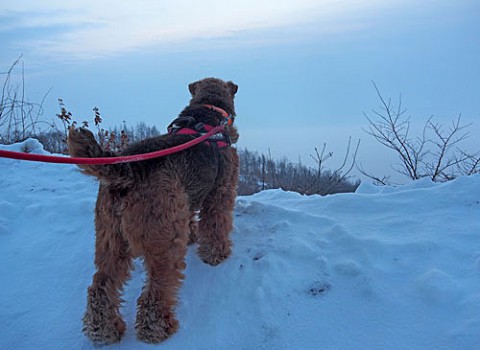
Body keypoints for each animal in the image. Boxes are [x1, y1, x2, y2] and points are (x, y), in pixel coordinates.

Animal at [66, 77, 239, 344]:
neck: (209, 111)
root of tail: (126, 171)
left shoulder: (185, 198)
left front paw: (193, 236)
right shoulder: (221, 192)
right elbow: (216, 224)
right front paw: (216, 254)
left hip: (109, 238)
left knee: (100, 288)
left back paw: (104, 331)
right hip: (163, 241)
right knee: (154, 293)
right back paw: (158, 329)